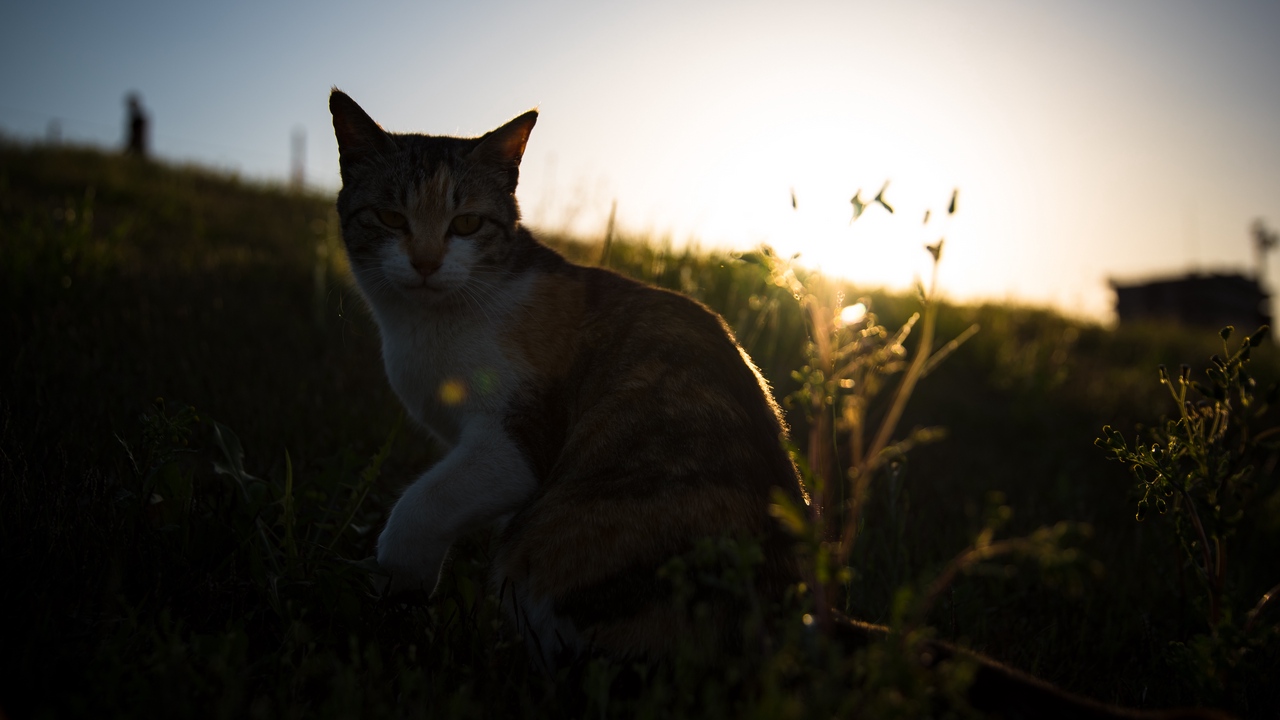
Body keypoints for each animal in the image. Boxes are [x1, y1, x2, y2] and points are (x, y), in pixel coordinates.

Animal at [330, 89, 808, 661]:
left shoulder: (518, 441)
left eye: (466, 224)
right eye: (389, 217)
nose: (425, 262)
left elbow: (421, 506)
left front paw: (399, 592)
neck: (429, 325)